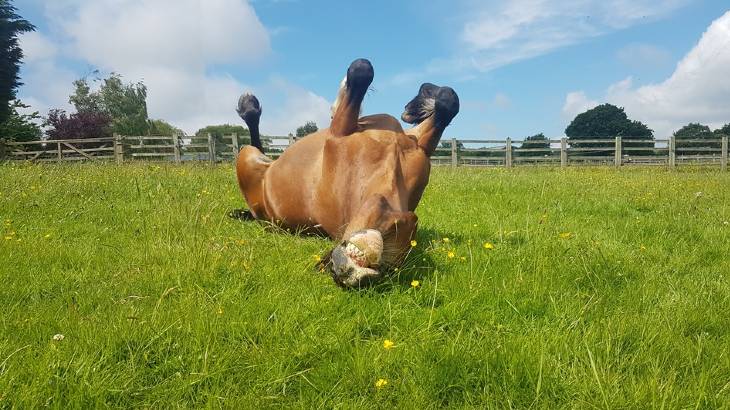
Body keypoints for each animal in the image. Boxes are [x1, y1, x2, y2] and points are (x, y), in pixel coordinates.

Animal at [236, 58, 458, 288]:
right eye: (395, 230)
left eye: (390, 268)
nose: (352, 274)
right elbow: (364, 70)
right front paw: (423, 99)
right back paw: (250, 106)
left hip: (247, 159)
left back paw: (249, 109)